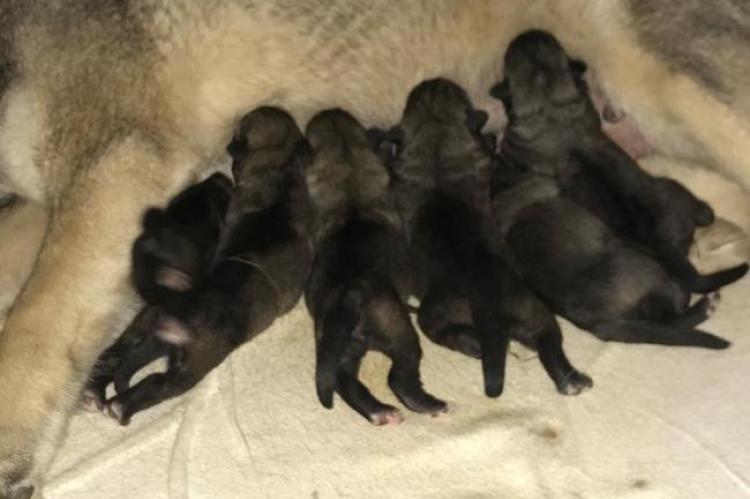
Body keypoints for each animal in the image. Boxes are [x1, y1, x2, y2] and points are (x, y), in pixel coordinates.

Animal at [89, 106, 314, 426]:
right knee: (157, 384)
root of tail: (181, 302)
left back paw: (96, 393)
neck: (277, 166)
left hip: (145, 326)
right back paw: (122, 406)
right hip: (194, 364)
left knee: (117, 356)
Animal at [304, 107, 446, 424]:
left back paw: (379, 412)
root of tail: (347, 294)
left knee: (344, 380)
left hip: (338, 343)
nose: (329, 110)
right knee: (399, 377)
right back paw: (431, 405)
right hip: (398, 331)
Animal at [388, 78, 592, 398]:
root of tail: (491, 304)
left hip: (437, 311)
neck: (437, 148)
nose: (434, 80)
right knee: (549, 340)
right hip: (533, 310)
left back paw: (472, 344)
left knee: (443, 331)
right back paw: (571, 379)